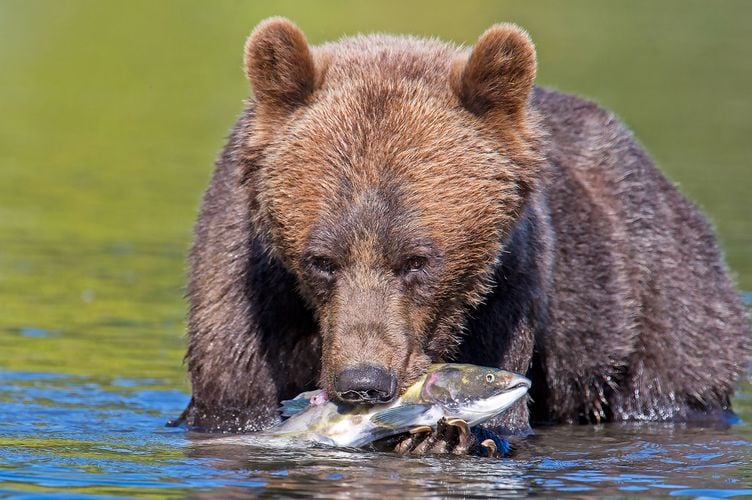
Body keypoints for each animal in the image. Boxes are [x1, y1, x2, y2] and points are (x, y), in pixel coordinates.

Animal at [173, 17, 750, 448]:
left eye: (416, 260)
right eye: (322, 259)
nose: (363, 383)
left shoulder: (507, 293)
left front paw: (444, 438)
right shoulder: (246, 295)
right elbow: (234, 399)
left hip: (658, 302)